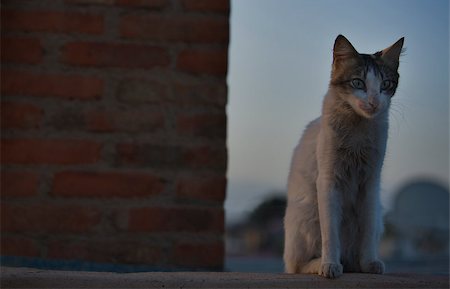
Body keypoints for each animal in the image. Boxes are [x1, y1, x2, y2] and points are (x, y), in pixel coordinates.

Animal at [284, 35, 402, 278]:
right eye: (358, 83)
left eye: (385, 84)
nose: (374, 102)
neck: (357, 132)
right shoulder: (329, 181)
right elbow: (331, 234)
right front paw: (329, 265)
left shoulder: (371, 183)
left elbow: (368, 234)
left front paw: (369, 263)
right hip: (307, 215)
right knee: (296, 266)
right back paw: (320, 264)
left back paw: (354, 264)